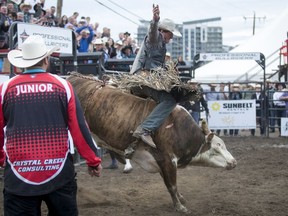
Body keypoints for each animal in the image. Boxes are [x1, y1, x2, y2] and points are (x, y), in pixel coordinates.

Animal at [67, 74, 236, 213]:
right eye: (216, 149)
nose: (233, 162)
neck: (180, 129)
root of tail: (71, 78)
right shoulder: (168, 159)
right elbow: (172, 185)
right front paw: (180, 206)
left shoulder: (160, 161)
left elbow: (170, 184)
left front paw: (181, 198)